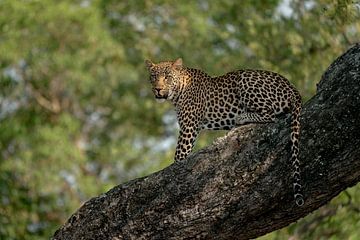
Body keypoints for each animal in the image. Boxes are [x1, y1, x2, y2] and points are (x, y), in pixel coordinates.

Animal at [146, 58, 304, 206]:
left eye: (167, 77)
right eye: (153, 76)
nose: (158, 89)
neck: (178, 91)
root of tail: (292, 88)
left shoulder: (188, 128)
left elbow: (179, 156)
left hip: (246, 79)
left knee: (270, 114)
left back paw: (241, 117)